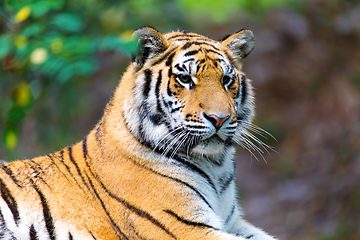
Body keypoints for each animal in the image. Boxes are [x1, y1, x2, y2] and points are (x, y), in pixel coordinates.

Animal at [0, 27, 278, 240]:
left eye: (227, 80)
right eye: (185, 79)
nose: (219, 118)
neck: (215, 166)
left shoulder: (232, 222)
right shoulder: (185, 227)